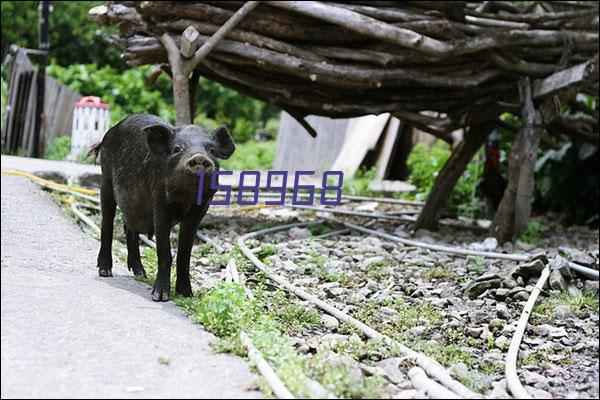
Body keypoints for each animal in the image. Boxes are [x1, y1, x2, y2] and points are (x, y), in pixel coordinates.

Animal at [90, 112, 236, 300]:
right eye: (178, 149)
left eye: (212, 151)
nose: (199, 157)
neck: (186, 199)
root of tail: (108, 134)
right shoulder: (160, 205)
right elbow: (165, 252)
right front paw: (159, 297)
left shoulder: (199, 212)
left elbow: (184, 254)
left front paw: (187, 294)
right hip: (105, 179)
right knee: (107, 222)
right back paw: (105, 271)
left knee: (128, 227)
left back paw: (141, 274)